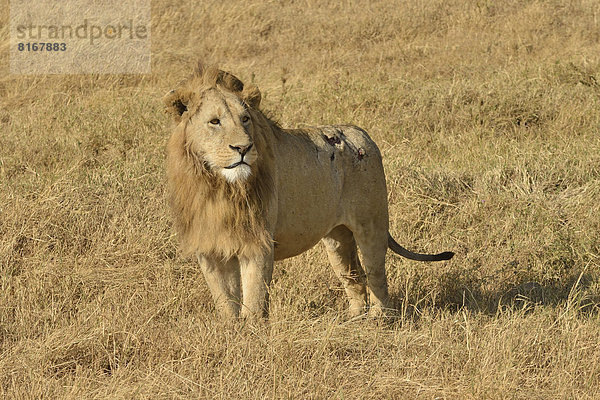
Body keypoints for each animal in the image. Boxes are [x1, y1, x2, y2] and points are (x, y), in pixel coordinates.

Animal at [164, 66, 454, 322]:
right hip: (337, 238)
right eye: (215, 121)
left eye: (245, 119)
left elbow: (254, 300)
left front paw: (251, 335)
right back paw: (353, 319)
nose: (244, 148)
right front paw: (231, 331)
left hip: (371, 224)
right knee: (353, 276)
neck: (217, 186)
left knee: (376, 275)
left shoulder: (259, 243)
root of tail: (363, 135)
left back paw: (380, 319)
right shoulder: (209, 247)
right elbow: (225, 300)